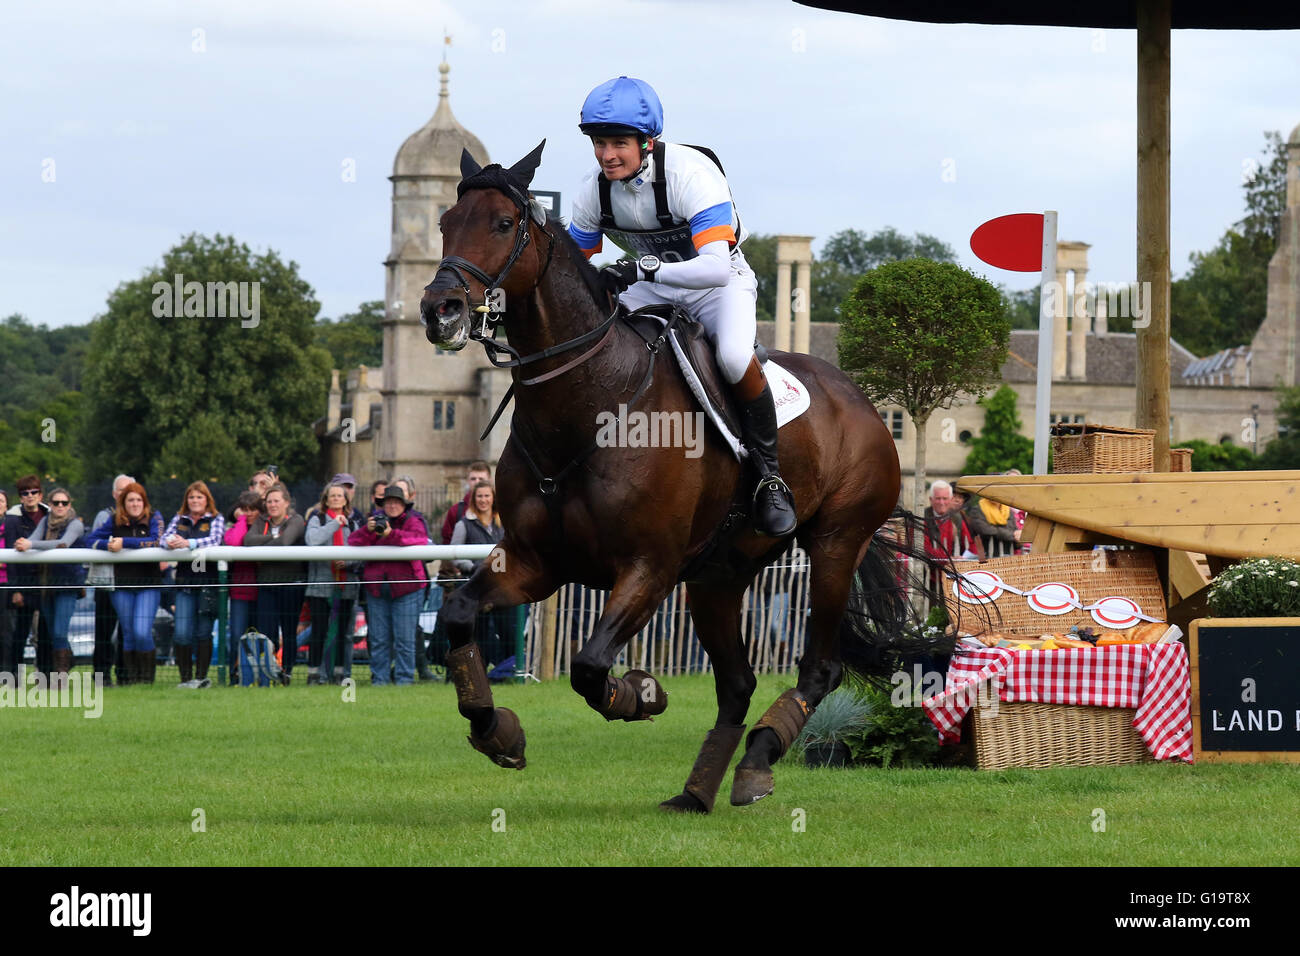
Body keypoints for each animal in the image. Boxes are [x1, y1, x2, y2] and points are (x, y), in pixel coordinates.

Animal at [420, 141, 943, 812]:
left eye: (504, 224)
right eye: (445, 223)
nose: (441, 310)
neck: (591, 402)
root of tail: (861, 400)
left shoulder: (650, 567)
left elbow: (589, 666)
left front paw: (641, 694)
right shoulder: (536, 562)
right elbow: (460, 615)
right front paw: (497, 731)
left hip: (833, 544)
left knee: (819, 669)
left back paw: (758, 760)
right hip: (719, 575)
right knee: (738, 683)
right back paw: (701, 790)